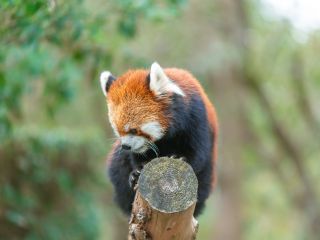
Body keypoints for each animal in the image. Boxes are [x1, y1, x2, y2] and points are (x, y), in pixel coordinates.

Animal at [100, 62, 218, 217]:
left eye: (133, 130)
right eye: (118, 130)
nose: (125, 146)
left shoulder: (196, 117)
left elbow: (198, 153)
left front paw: (182, 159)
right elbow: (135, 158)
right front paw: (137, 172)